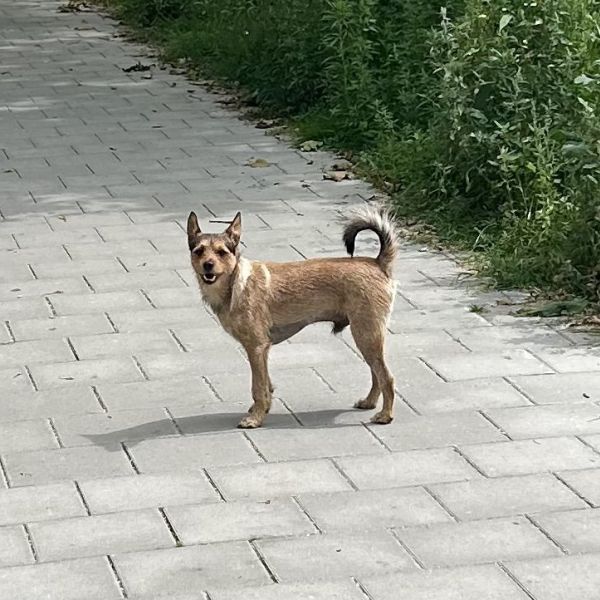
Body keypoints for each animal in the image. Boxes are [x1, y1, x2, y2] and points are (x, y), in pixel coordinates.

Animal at [188, 206, 398, 426]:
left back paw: (385, 414)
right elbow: (267, 385)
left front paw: (255, 418)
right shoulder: (261, 351)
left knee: (386, 377)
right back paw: (369, 402)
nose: (208, 265)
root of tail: (378, 263)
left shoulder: (256, 348)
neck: (236, 282)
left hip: (366, 335)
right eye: (198, 251)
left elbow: (258, 388)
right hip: (369, 337)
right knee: (376, 374)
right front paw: (262, 409)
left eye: (222, 252)